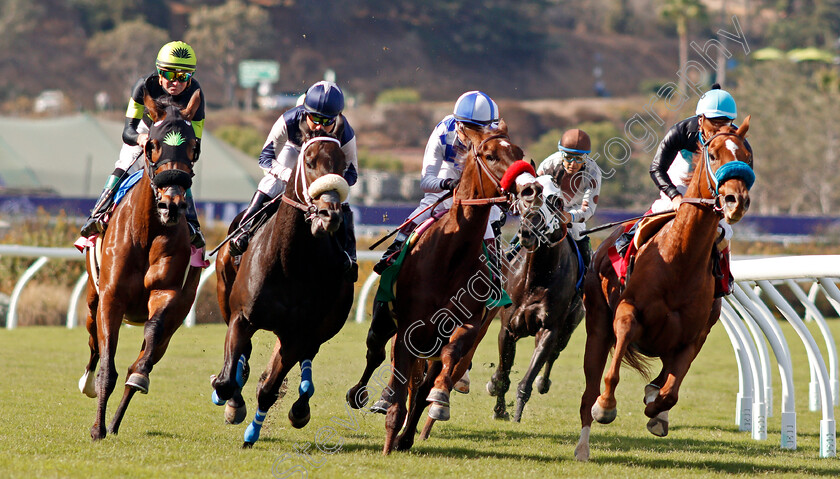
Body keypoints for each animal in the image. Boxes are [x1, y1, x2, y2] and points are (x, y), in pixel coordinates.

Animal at [78, 91, 203, 442]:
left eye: (194, 147)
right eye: (153, 145)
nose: (172, 204)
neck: (147, 232)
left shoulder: (168, 294)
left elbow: (151, 335)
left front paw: (137, 376)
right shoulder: (111, 297)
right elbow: (107, 364)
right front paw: (97, 429)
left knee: (150, 352)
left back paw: (118, 417)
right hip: (92, 301)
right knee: (93, 343)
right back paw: (89, 388)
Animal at [213, 132, 354, 450]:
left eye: (343, 165)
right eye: (309, 161)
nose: (329, 215)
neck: (289, 262)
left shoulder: (298, 333)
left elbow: (269, 389)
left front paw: (251, 434)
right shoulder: (241, 317)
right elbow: (227, 381)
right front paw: (230, 399)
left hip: (324, 326)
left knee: (307, 357)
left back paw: (301, 404)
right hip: (225, 294)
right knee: (244, 356)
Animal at [344, 122, 540, 456]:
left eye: (519, 152)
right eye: (490, 154)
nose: (530, 189)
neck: (450, 257)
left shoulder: (468, 325)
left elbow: (447, 361)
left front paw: (438, 403)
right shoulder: (408, 328)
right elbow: (397, 378)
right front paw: (388, 436)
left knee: (423, 381)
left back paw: (409, 433)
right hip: (384, 321)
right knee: (376, 354)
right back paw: (362, 396)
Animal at [486, 193, 584, 422]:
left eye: (551, 206)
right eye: (525, 203)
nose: (526, 232)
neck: (536, 278)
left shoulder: (549, 329)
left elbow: (528, 378)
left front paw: (516, 414)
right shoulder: (508, 328)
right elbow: (503, 374)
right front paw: (499, 408)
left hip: (568, 328)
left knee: (554, 354)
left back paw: (543, 383)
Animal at [576, 117, 756, 462]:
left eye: (748, 156)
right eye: (713, 154)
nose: (735, 201)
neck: (680, 260)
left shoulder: (694, 336)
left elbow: (670, 391)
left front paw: (656, 412)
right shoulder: (627, 312)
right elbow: (613, 373)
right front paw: (606, 407)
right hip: (597, 326)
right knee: (589, 390)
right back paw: (583, 446)